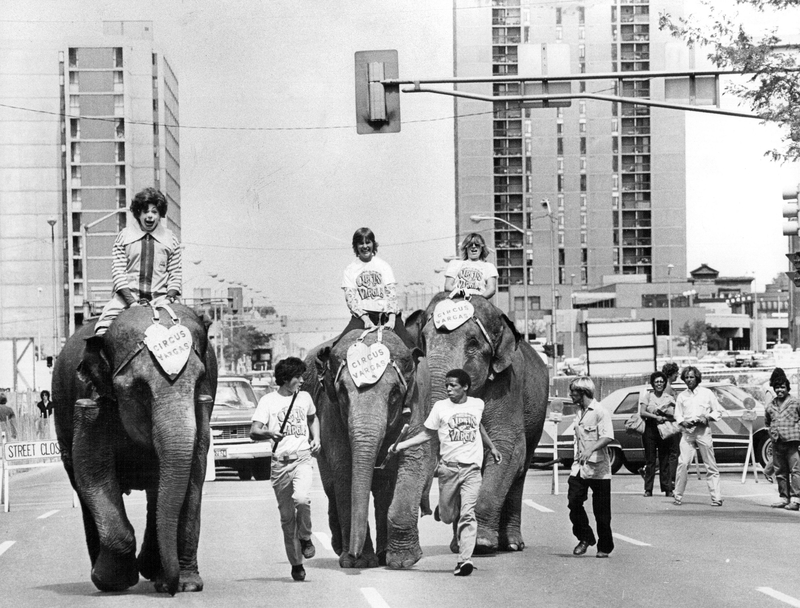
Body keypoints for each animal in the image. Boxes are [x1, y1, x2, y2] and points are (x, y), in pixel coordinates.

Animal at [52, 304, 216, 592]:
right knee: (81, 488)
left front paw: (186, 585)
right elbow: (91, 472)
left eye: (199, 381)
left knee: (155, 491)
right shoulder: (90, 403)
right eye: (140, 389)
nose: (170, 588)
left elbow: (195, 474)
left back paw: (151, 569)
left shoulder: (203, 406)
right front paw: (113, 581)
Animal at [304, 330, 428, 568]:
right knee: (331, 486)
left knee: (383, 488)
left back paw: (383, 554)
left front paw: (404, 560)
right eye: (343, 393)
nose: (354, 554)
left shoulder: (415, 405)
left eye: (394, 393)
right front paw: (358, 563)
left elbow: (414, 457)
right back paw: (343, 548)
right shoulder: (330, 413)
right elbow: (344, 468)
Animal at [382, 292, 548, 568]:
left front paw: (482, 543)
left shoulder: (508, 385)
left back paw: (512, 544)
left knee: (521, 469)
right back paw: (457, 543)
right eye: (424, 341)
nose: (433, 512)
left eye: (472, 343)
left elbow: (507, 448)